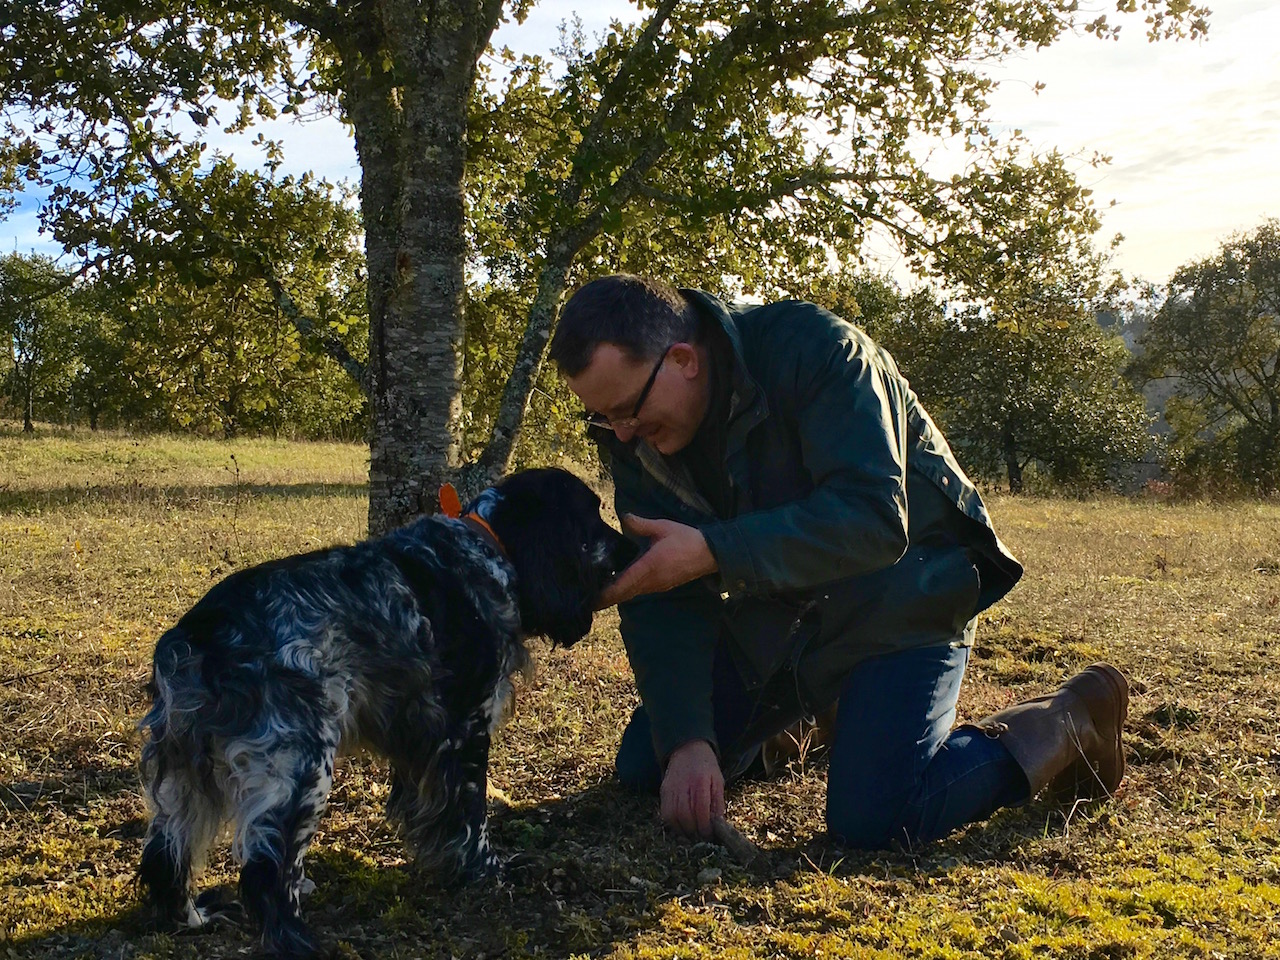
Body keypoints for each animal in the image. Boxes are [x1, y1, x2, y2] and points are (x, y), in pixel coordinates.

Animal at [137, 471, 637, 957]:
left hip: (189, 773)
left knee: (166, 851)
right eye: (592, 515)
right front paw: (489, 872)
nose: (634, 546)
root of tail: (194, 635)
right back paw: (301, 941)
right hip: (300, 765)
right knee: (266, 871)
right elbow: (471, 816)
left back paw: (195, 918)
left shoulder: (420, 743)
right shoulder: (465, 728)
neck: (489, 550)